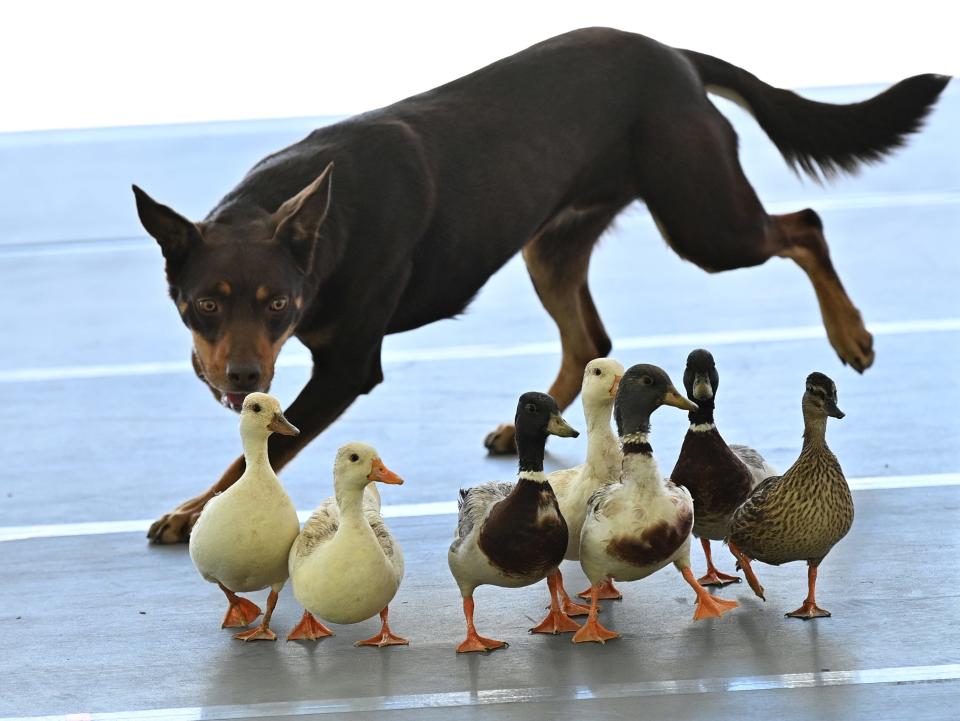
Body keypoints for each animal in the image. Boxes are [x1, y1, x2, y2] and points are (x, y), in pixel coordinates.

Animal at [131, 28, 948, 540]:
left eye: (278, 305)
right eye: (203, 304)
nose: (240, 376)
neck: (319, 228)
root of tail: (673, 56)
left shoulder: (347, 367)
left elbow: (262, 452)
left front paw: (194, 510)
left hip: (706, 224)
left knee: (804, 225)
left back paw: (852, 334)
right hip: (550, 243)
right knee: (590, 335)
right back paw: (530, 416)